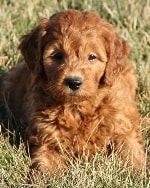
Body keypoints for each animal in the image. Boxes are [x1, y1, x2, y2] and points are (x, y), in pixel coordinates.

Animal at [2, 8, 147, 173]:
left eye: (92, 57)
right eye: (57, 55)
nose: (73, 82)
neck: (78, 107)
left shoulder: (122, 126)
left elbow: (130, 151)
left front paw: (138, 173)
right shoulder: (48, 139)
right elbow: (46, 165)